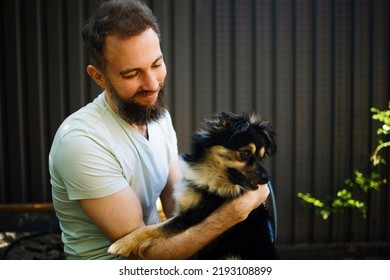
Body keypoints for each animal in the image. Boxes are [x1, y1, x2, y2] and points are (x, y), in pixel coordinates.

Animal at [109, 112, 278, 260]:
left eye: (261, 157)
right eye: (245, 154)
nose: (267, 178)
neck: (210, 176)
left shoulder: (192, 216)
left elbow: (153, 228)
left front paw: (122, 244)